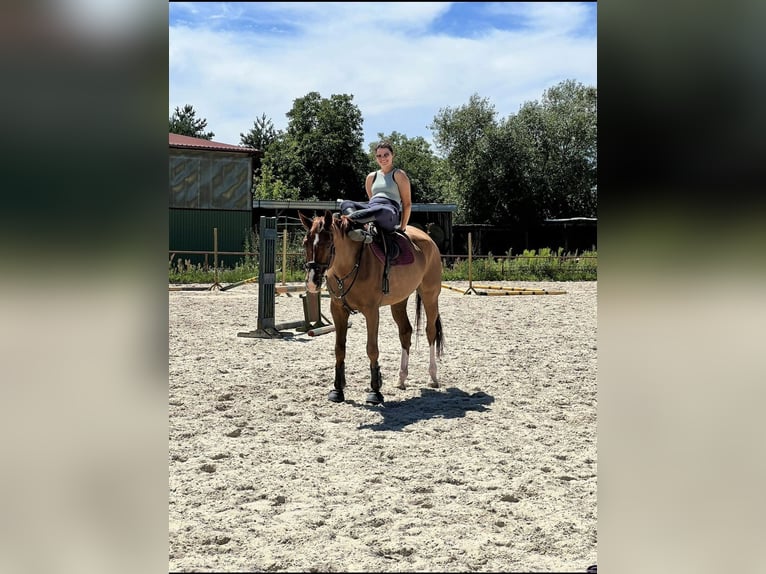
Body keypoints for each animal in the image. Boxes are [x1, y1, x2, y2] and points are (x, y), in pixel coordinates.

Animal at [299, 210, 445, 405]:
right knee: (405, 332)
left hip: (430, 296)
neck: (350, 265)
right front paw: (338, 389)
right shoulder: (337, 311)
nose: (312, 282)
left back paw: (432, 377)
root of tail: (428, 238)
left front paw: (375, 391)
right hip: (399, 301)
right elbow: (339, 349)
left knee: (430, 332)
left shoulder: (371, 311)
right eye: (305, 243)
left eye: (328, 243)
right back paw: (401, 378)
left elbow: (372, 349)